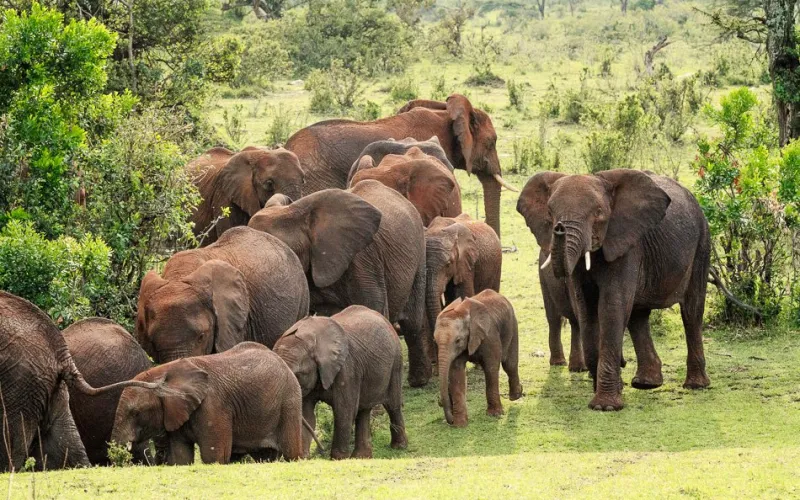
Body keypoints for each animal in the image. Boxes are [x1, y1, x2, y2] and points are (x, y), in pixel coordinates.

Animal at [110, 342, 317, 464]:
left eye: (136, 412)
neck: (164, 372)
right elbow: (181, 456)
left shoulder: (213, 405)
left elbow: (214, 455)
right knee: (265, 456)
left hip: (289, 400)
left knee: (291, 452)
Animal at [273, 305, 407, 460]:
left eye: (298, 374)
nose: (321, 449)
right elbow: (307, 414)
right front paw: (304, 457)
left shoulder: (347, 368)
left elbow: (344, 410)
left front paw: (338, 458)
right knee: (363, 411)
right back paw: (361, 457)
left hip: (396, 361)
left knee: (392, 405)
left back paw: (399, 446)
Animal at [434, 290, 523, 427]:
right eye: (435, 342)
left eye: (458, 340)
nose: (450, 420)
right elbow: (456, 373)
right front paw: (460, 425)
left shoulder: (489, 336)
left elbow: (491, 367)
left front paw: (495, 414)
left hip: (512, 324)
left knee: (509, 364)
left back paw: (516, 396)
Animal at [517, 169, 711, 411]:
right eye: (550, 212)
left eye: (599, 212)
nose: (559, 227)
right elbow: (586, 309)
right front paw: (610, 391)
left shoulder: (627, 244)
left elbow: (611, 306)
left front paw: (606, 406)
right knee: (638, 316)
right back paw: (646, 384)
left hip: (702, 241)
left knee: (692, 310)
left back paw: (695, 385)